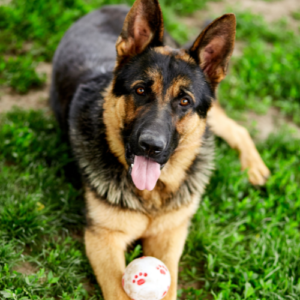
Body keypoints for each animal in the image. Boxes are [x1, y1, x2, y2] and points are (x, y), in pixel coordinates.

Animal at [49, 1, 270, 298]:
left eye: (184, 101)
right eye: (140, 90)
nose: (150, 146)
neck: (151, 197)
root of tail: (107, 6)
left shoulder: (168, 237)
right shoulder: (104, 239)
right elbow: (118, 290)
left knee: (236, 128)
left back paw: (254, 168)